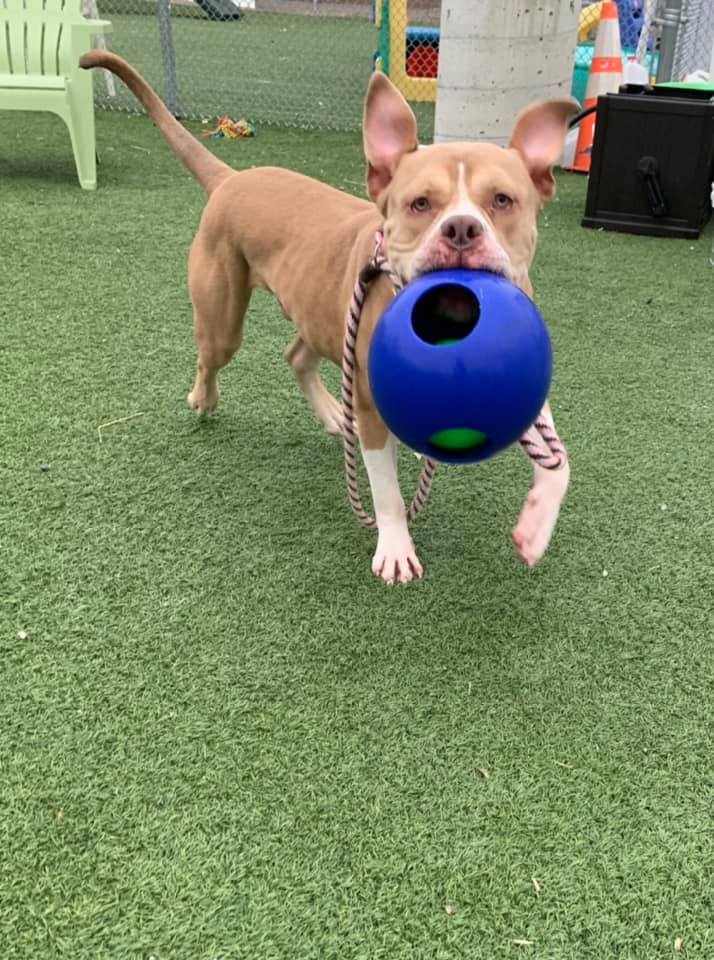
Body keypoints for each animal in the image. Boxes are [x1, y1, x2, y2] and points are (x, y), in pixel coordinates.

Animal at [80, 52, 576, 584]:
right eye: (420, 203)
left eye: (502, 200)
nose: (461, 228)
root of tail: (231, 178)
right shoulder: (371, 406)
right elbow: (387, 493)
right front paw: (395, 549)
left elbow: (559, 463)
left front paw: (535, 529)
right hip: (223, 319)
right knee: (210, 357)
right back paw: (204, 399)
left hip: (319, 317)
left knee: (296, 354)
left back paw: (335, 416)